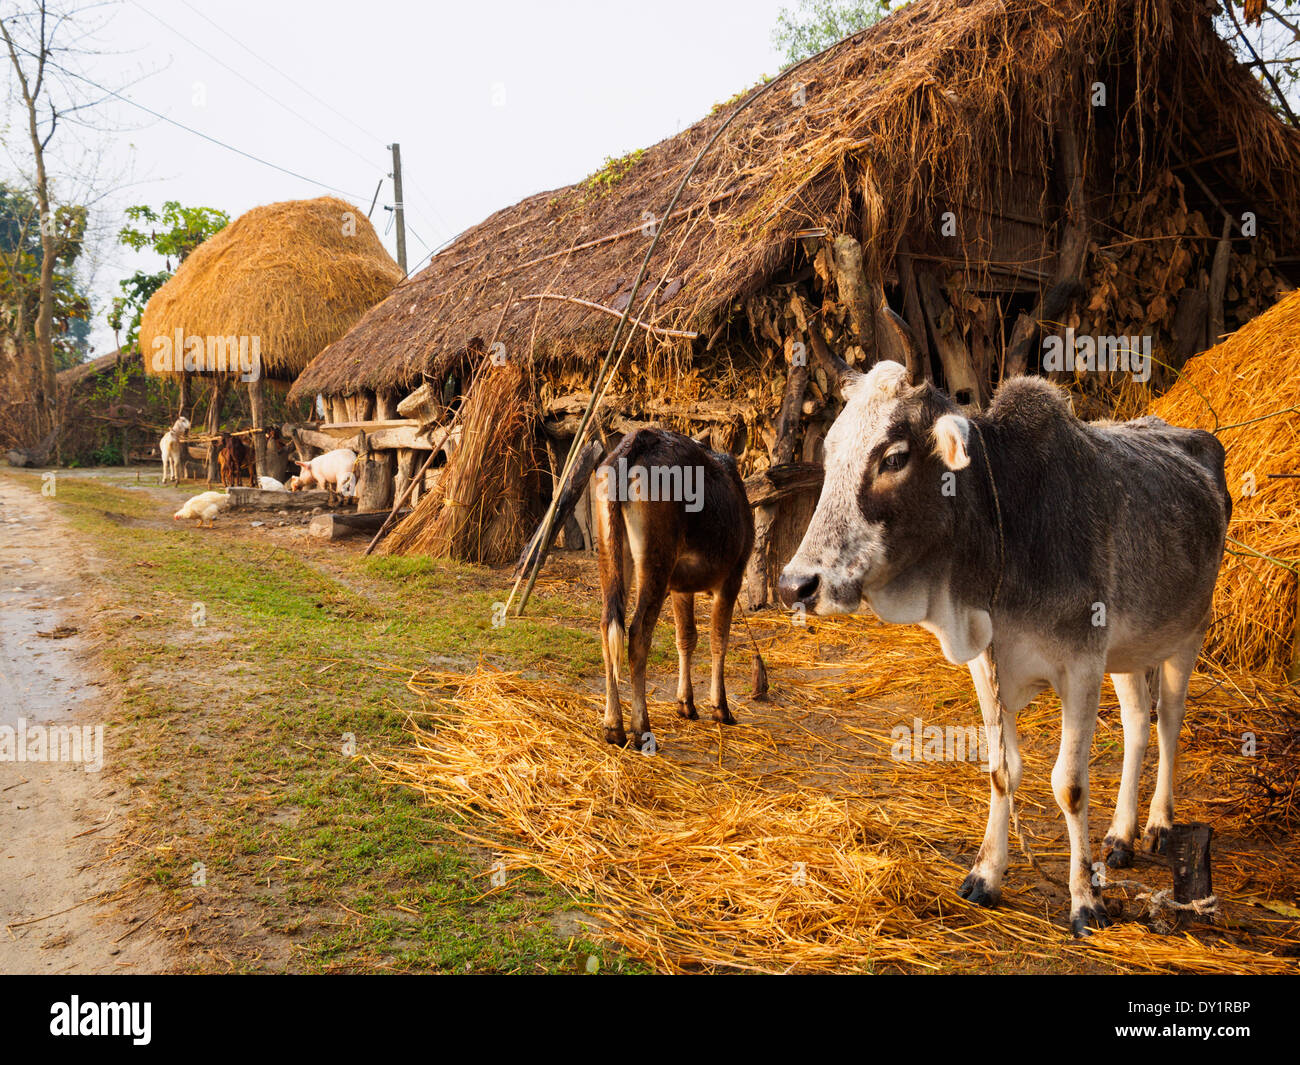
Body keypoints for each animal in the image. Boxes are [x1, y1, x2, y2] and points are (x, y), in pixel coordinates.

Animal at [595, 429, 759, 754]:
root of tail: (638, 441)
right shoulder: (732, 577)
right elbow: (718, 640)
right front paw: (720, 708)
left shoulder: (682, 586)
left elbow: (686, 637)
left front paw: (686, 704)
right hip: (656, 558)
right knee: (637, 632)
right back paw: (641, 729)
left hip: (611, 550)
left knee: (609, 627)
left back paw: (614, 728)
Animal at [780, 361, 1227, 931]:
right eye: (832, 452)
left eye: (894, 458)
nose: (797, 585)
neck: (1008, 529)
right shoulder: (988, 665)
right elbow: (1002, 771)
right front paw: (987, 874)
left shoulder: (1081, 666)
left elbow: (1069, 785)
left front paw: (1085, 898)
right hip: (1130, 651)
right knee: (1136, 725)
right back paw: (1121, 834)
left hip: (1188, 632)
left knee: (1168, 720)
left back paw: (1158, 824)